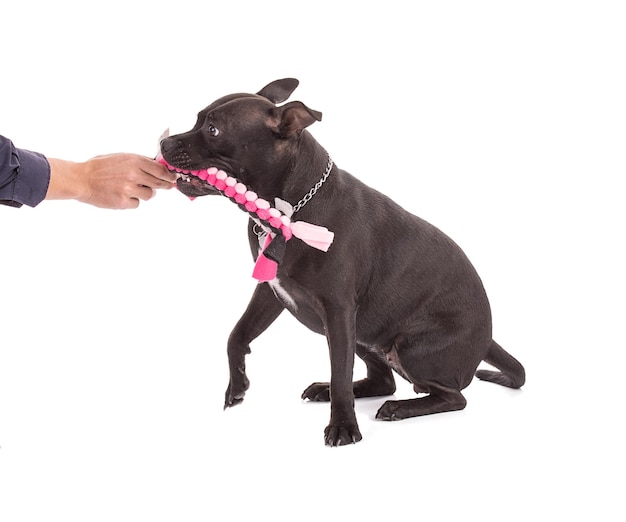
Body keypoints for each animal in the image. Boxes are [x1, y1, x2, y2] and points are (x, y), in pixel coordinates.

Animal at [160, 79, 520, 444]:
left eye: (213, 130)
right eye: (198, 119)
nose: (164, 142)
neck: (288, 212)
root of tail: (488, 338)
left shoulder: (338, 311)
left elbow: (340, 373)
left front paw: (344, 426)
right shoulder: (271, 291)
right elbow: (237, 335)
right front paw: (237, 385)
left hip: (407, 346)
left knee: (452, 396)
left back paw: (399, 408)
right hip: (367, 331)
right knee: (383, 381)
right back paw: (329, 390)